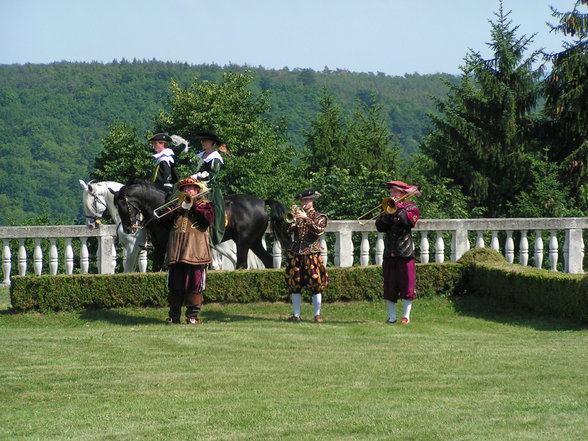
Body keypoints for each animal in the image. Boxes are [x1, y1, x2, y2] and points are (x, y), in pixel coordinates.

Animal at [112, 180, 292, 270]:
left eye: (123, 206)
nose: (127, 229)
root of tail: (262, 202)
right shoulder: (159, 248)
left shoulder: (164, 247)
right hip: (253, 242)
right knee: (268, 261)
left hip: (243, 242)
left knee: (241, 264)